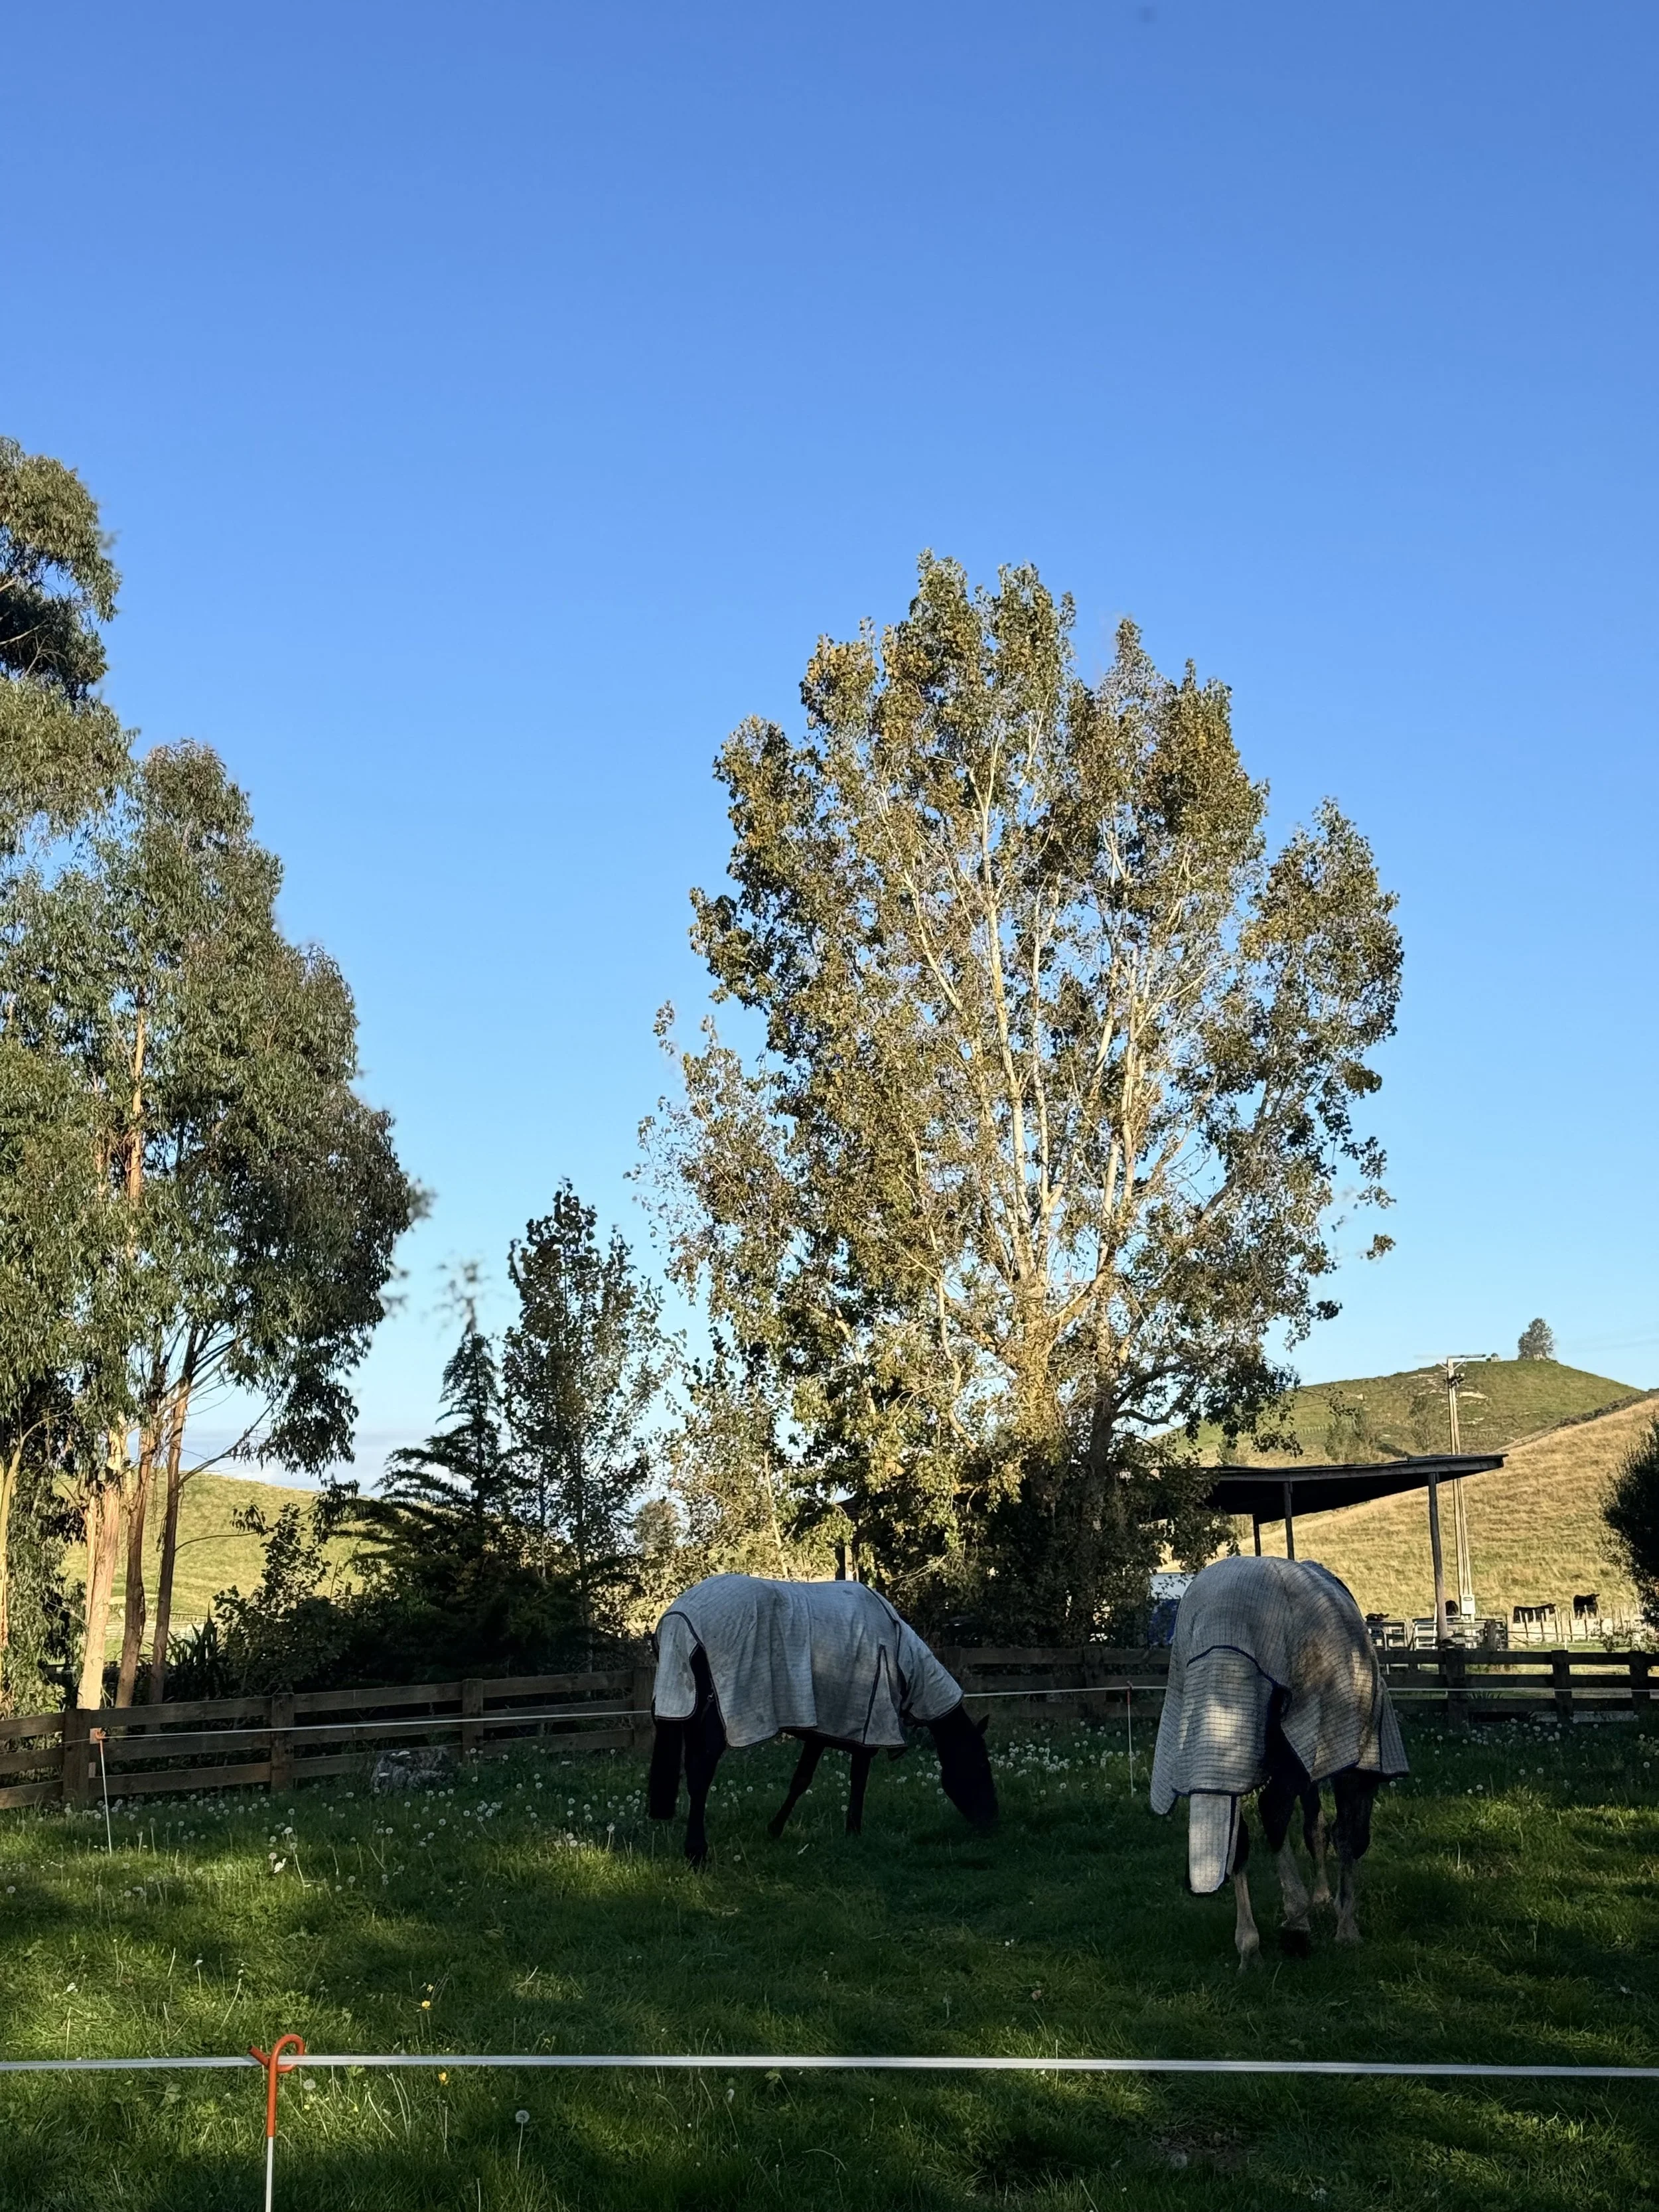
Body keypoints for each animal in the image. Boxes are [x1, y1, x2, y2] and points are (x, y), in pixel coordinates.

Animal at [646, 1573, 998, 1865]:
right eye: (982, 1766)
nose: (990, 1823)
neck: (898, 1653)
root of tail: (680, 1619)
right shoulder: (870, 1725)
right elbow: (858, 1779)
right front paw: (854, 1832)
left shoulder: (821, 1728)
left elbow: (801, 1780)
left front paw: (775, 1828)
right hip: (715, 1720)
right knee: (700, 1774)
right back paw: (696, 1852)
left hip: (689, 1711)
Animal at [1150, 1555, 1407, 1965]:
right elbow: (1335, 1832)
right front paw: (1324, 1924)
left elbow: (1323, 1829)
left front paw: (1320, 1916)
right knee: (1291, 1818)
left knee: (1295, 1825)